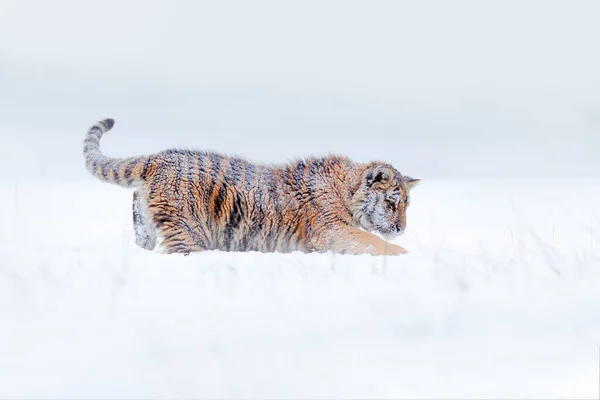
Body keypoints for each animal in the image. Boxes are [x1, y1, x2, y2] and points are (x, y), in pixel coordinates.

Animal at [83, 119, 422, 256]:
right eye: (391, 203)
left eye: (406, 205)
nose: (401, 228)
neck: (345, 191)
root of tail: (158, 157)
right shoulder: (332, 231)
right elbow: (374, 242)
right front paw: (407, 254)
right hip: (188, 231)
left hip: (147, 229)